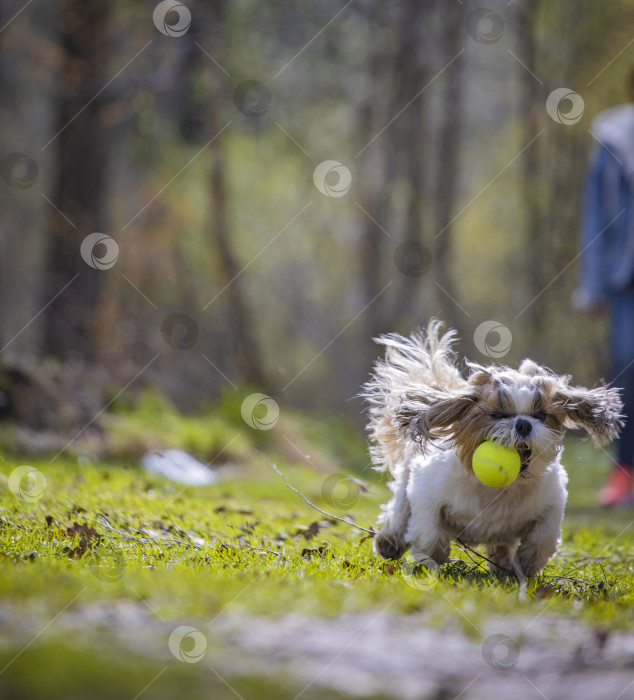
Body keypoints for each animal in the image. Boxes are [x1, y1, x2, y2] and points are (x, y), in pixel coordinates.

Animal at [362, 320, 620, 576]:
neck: (502, 489)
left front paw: (527, 563)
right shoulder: (427, 492)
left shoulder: (551, 502)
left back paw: (504, 566)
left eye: (540, 415)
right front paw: (432, 557)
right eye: (497, 415)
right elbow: (430, 531)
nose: (523, 424)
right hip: (406, 479)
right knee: (399, 510)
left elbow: (544, 537)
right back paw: (390, 541)